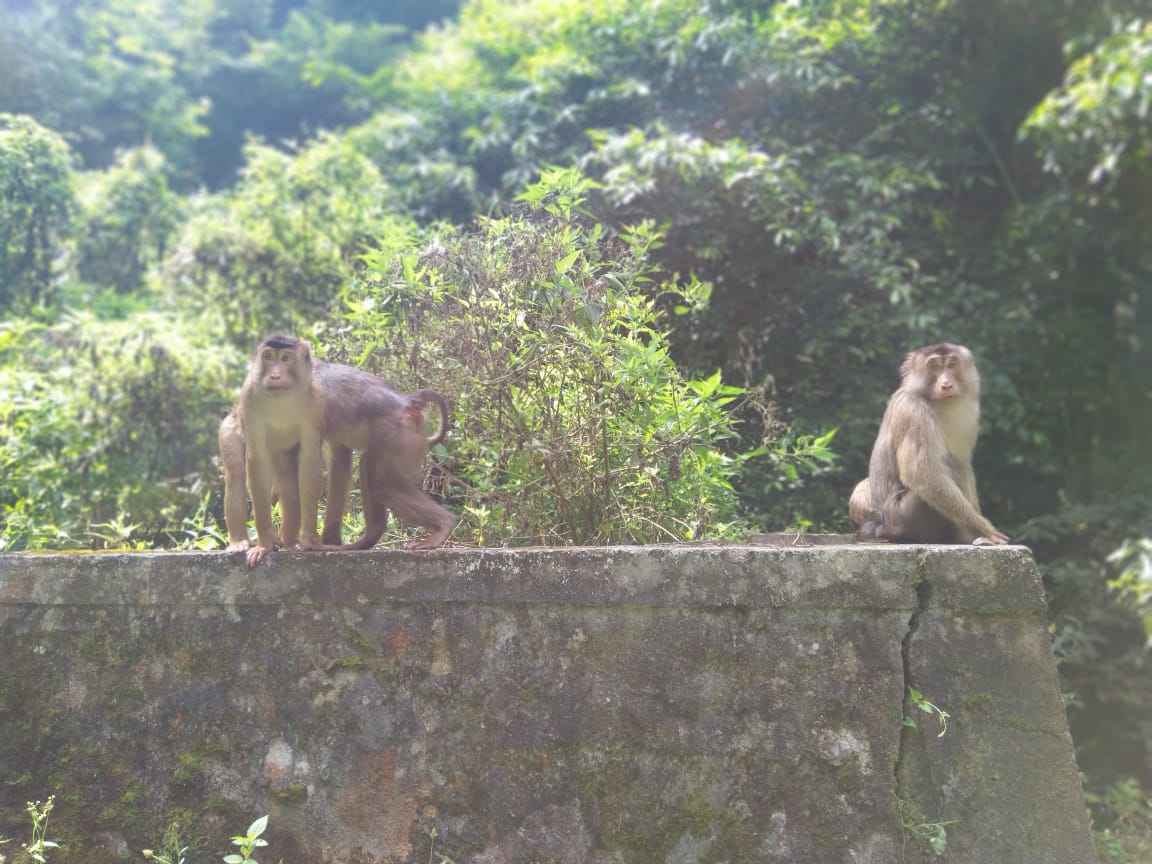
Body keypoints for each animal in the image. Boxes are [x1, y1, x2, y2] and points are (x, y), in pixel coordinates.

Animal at [235, 334, 326, 567]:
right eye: (268, 357)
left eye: (285, 358)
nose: (275, 375)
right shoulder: (249, 399)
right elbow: (257, 459)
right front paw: (265, 542)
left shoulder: (315, 402)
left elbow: (310, 460)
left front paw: (309, 538)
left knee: (290, 487)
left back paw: (289, 540)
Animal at [848, 343, 1010, 546]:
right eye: (934, 366)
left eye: (951, 365)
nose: (946, 384)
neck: (931, 400)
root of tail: (884, 527)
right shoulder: (914, 412)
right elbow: (922, 475)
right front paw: (985, 530)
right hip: (907, 517)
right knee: (951, 466)